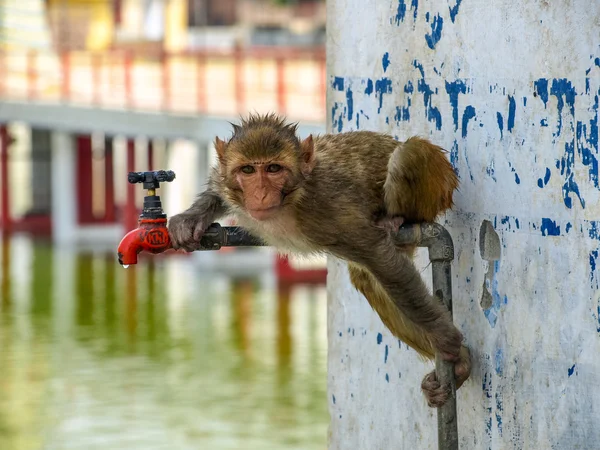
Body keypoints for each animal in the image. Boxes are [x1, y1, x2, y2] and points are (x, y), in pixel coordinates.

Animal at [168, 113, 468, 408]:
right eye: (248, 171)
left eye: (274, 169)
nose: (261, 194)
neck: (292, 199)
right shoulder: (226, 180)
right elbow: (216, 185)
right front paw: (191, 218)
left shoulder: (331, 210)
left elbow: (381, 260)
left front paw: (443, 334)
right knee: (368, 279)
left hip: (437, 187)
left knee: (408, 154)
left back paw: (396, 219)